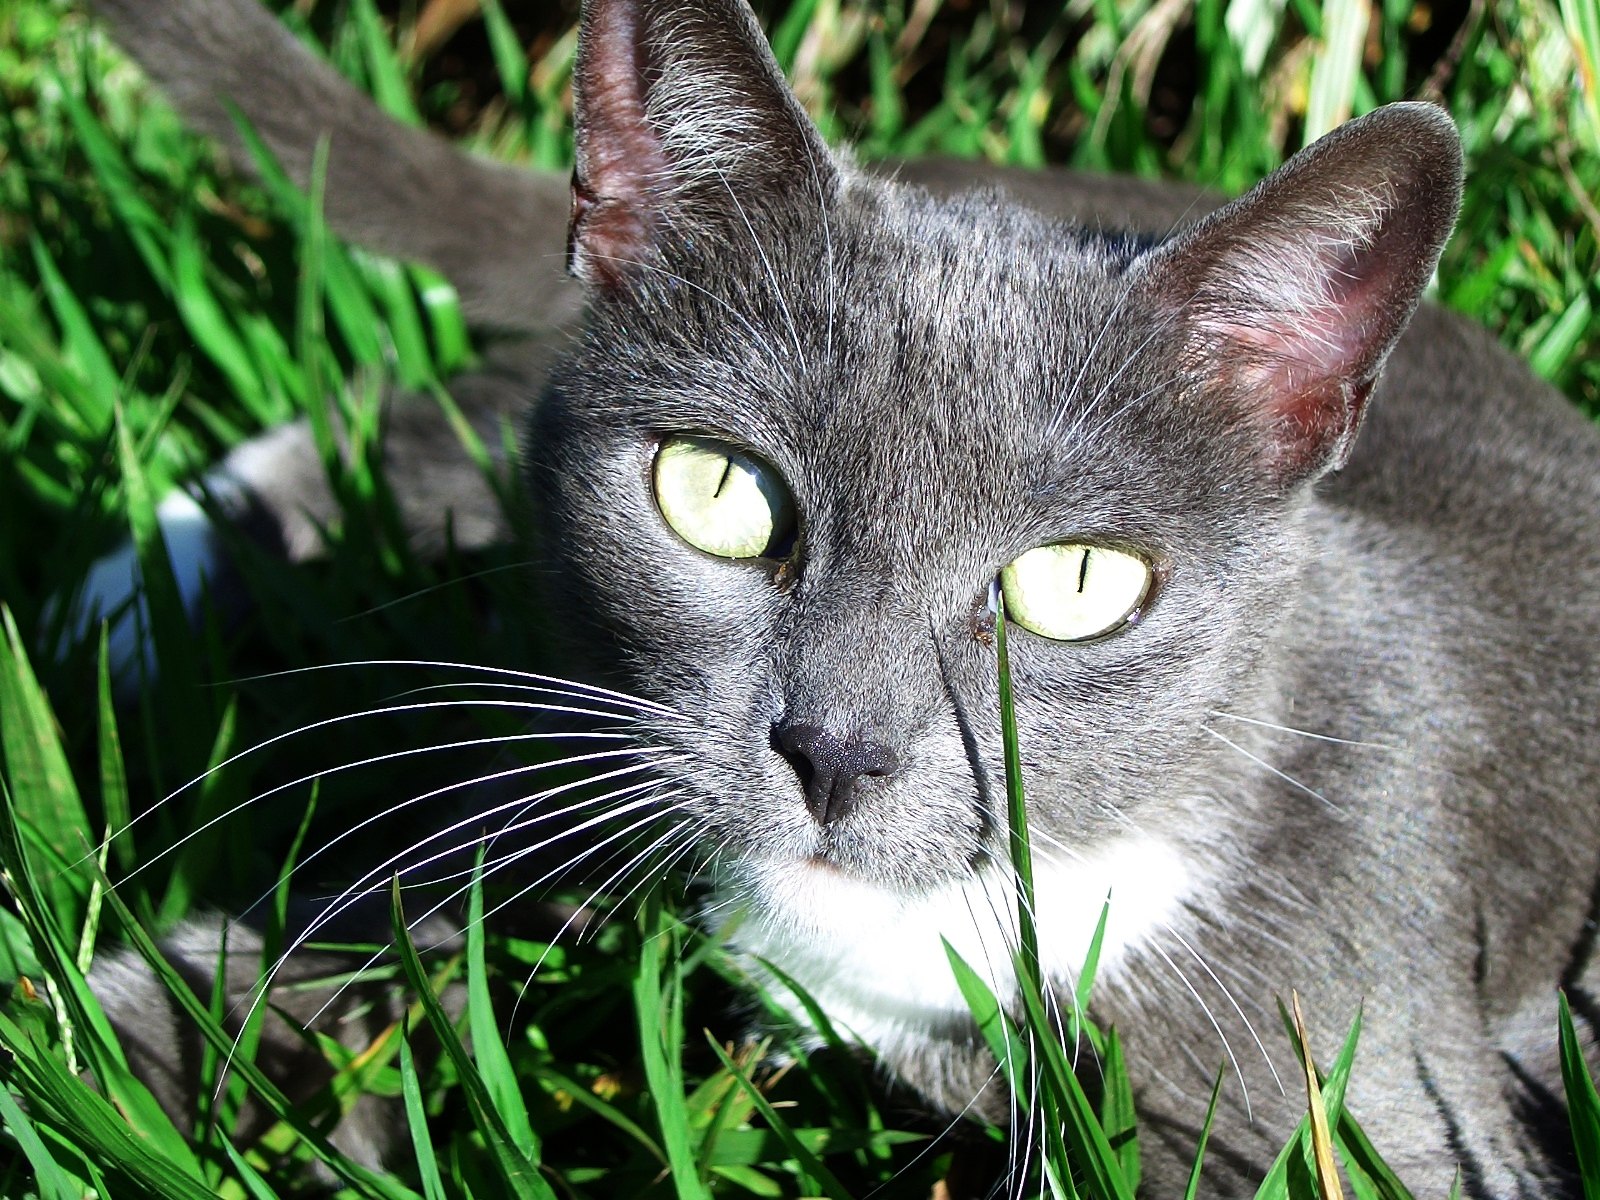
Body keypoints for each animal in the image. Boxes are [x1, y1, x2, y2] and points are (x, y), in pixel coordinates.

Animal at [78, 0, 1600, 1196]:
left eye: (1078, 584)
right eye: (716, 490)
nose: (835, 751)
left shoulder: (1369, 1072)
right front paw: (111, 1047)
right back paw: (135, 585)